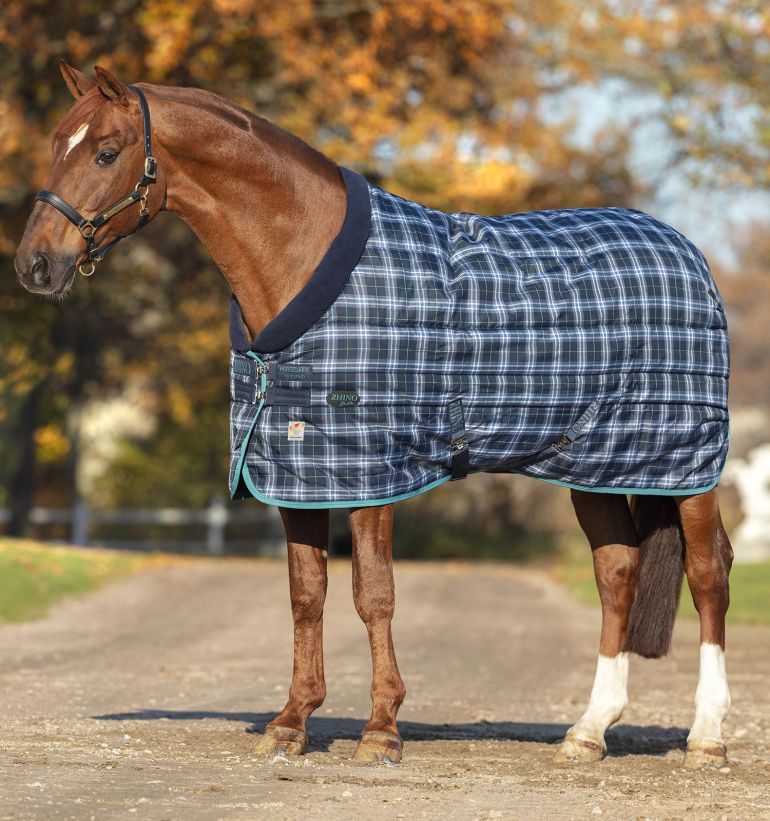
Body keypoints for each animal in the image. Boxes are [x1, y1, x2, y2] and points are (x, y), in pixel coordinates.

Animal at [15, 62, 733, 770]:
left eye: (107, 152)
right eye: (53, 144)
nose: (34, 265)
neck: (301, 257)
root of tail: (686, 250)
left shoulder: (371, 471)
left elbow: (373, 593)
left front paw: (382, 728)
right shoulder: (300, 471)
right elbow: (307, 594)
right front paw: (292, 722)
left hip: (687, 465)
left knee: (708, 573)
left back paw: (707, 736)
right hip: (597, 465)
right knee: (617, 573)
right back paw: (588, 731)